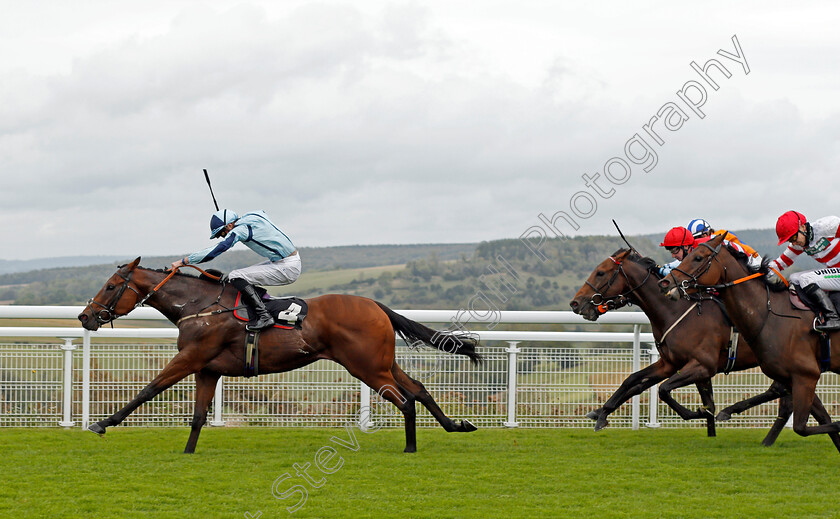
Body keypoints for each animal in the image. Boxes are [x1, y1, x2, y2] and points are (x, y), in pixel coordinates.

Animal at [82, 260, 482, 456]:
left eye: (111, 286)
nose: (85, 317)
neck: (201, 305)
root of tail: (375, 305)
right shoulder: (208, 369)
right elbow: (197, 417)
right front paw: (188, 452)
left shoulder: (192, 358)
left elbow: (148, 389)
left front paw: (103, 423)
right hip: (381, 362)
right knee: (418, 389)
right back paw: (456, 426)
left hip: (366, 366)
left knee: (406, 400)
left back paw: (410, 447)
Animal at [572, 248, 832, 446]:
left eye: (601, 272)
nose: (576, 303)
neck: (674, 311)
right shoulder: (669, 363)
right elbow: (633, 381)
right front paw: (601, 413)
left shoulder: (702, 365)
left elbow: (665, 390)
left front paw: (698, 413)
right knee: (797, 400)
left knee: (785, 396)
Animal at [660, 234, 840, 452]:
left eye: (698, 257)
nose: (665, 282)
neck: (770, 314)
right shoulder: (794, 376)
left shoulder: (806, 375)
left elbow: (803, 427)